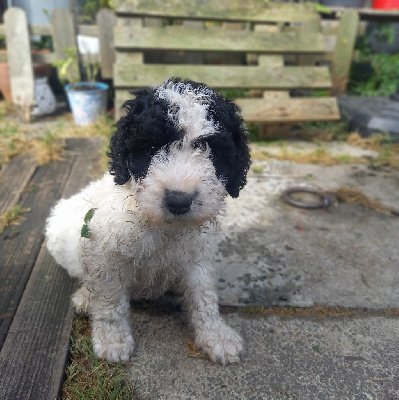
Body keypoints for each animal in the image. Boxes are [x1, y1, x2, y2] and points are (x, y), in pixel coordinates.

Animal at [47, 78, 252, 366]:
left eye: (212, 151)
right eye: (151, 148)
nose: (179, 200)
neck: (162, 225)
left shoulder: (198, 257)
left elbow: (204, 297)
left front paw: (215, 336)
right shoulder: (104, 254)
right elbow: (109, 302)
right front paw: (112, 340)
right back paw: (86, 296)